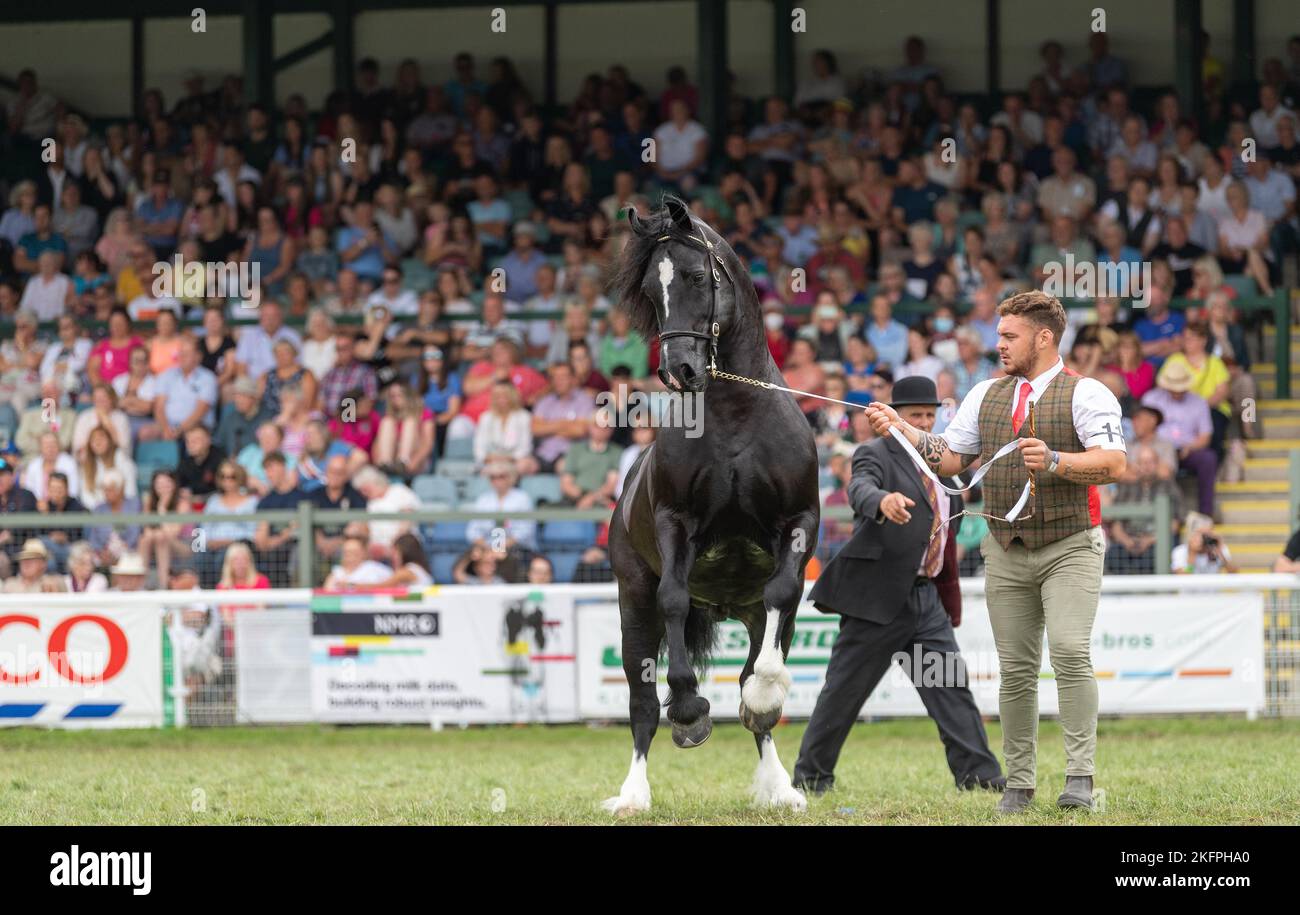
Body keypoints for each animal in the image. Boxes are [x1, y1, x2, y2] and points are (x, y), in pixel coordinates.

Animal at [600, 198, 821, 816]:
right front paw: (689, 711)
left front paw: (764, 695)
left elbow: (780, 598)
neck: (735, 415)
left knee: (757, 686)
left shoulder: (798, 524)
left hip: (752, 613)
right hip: (633, 602)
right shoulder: (677, 525)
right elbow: (675, 602)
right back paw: (634, 791)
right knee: (641, 703)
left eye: (698, 277)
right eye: (649, 290)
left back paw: (779, 786)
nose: (680, 371)